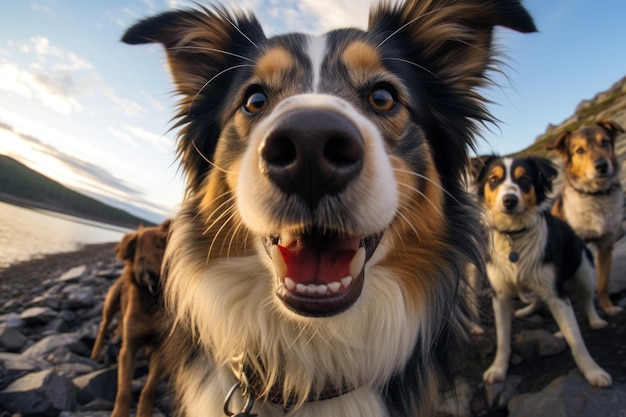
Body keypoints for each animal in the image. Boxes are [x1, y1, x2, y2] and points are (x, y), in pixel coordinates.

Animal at [89, 218, 169, 416]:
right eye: (159, 244)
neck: (153, 296)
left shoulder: (160, 348)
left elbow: (149, 389)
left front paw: (144, 412)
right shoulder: (129, 348)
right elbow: (124, 391)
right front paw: (119, 413)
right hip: (111, 303)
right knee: (103, 327)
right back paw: (95, 354)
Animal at [472, 155, 608, 386]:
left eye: (524, 180)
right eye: (493, 180)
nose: (510, 200)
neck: (513, 234)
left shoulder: (556, 293)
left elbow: (576, 339)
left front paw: (593, 371)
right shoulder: (500, 295)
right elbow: (502, 339)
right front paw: (498, 368)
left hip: (584, 270)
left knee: (588, 299)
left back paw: (595, 321)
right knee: (537, 298)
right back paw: (527, 310)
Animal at [544, 119, 620, 316]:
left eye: (605, 142)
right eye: (580, 151)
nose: (602, 166)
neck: (595, 195)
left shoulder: (605, 245)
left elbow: (603, 282)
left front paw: (607, 308)